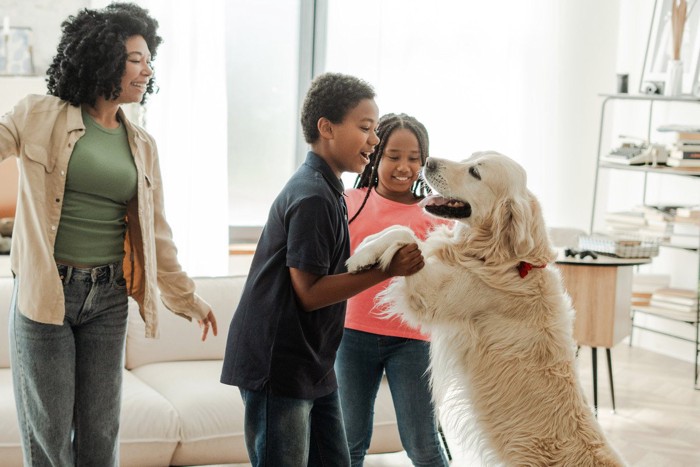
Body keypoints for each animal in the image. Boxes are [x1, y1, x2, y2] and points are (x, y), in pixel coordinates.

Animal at [348, 152, 628, 466]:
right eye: (469, 158)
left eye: (475, 172)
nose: (428, 161)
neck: (507, 260)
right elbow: (399, 229)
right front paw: (366, 244)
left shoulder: (433, 294)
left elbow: (406, 233)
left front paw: (361, 256)